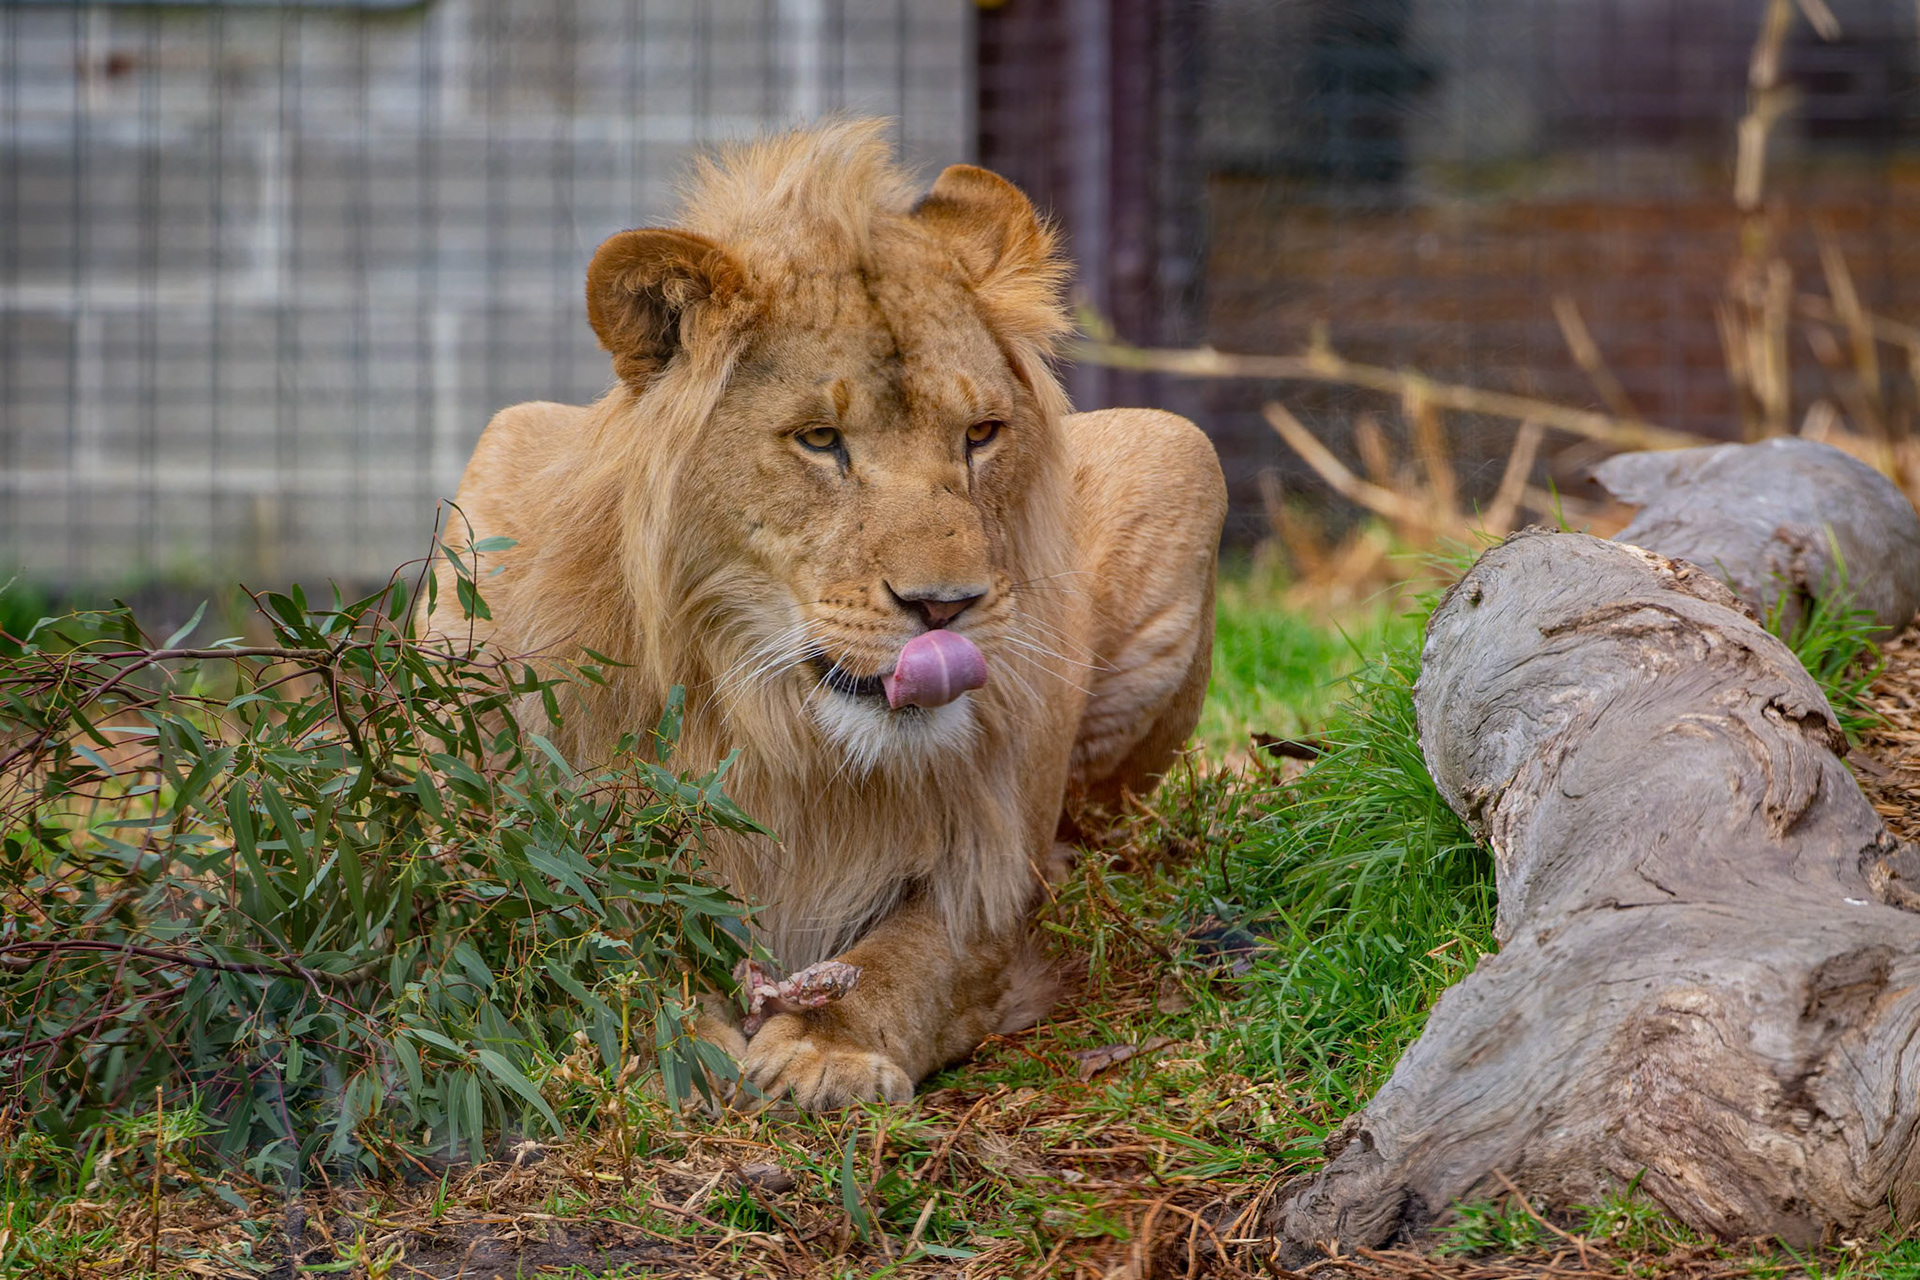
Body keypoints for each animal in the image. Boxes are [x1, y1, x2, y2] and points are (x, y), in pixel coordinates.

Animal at [425, 119, 1226, 1108]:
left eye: (980, 434)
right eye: (819, 440)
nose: (944, 606)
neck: (782, 734)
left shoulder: (993, 865)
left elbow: (917, 961)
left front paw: (826, 1049)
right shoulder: (505, 846)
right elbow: (595, 935)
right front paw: (678, 1049)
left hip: (1180, 448)